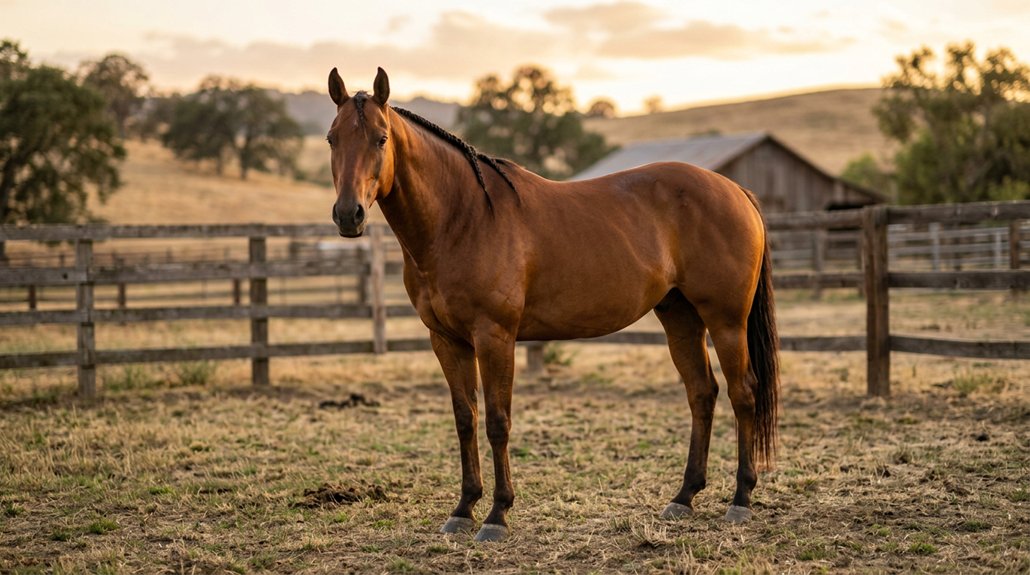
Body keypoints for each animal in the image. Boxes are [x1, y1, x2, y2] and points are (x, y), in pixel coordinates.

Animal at [325, 67, 779, 542]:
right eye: (332, 138)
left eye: (380, 138)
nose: (348, 215)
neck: (463, 218)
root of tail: (735, 190)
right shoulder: (446, 341)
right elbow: (465, 419)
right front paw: (464, 509)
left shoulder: (494, 337)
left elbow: (497, 421)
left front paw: (497, 514)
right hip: (681, 318)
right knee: (702, 393)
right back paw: (683, 497)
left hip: (726, 320)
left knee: (743, 393)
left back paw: (741, 499)